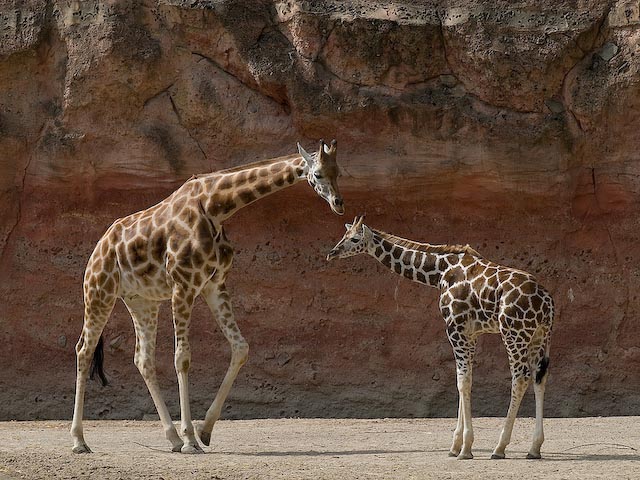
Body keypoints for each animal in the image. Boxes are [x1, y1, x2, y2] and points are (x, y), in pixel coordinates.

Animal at [71, 140, 344, 454]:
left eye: (339, 172)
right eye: (319, 174)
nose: (339, 203)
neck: (216, 207)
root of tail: (99, 246)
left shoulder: (215, 284)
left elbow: (241, 347)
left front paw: (204, 430)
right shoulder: (183, 285)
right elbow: (182, 358)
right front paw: (191, 438)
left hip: (142, 301)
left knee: (143, 358)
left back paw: (172, 438)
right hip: (98, 292)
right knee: (84, 349)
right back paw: (79, 441)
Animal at [327, 216, 554, 460]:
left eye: (354, 239)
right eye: (344, 235)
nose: (332, 253)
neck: (440, 272)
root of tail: (547, 301)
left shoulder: (455, 328)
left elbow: (462, 381)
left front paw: (465, 448)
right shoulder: (470, 333)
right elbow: (464, 380)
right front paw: (455, 446)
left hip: (514, 333)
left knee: (520, 378)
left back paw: (499, 448)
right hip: (539, 336)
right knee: (539, 377)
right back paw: (534, 448)